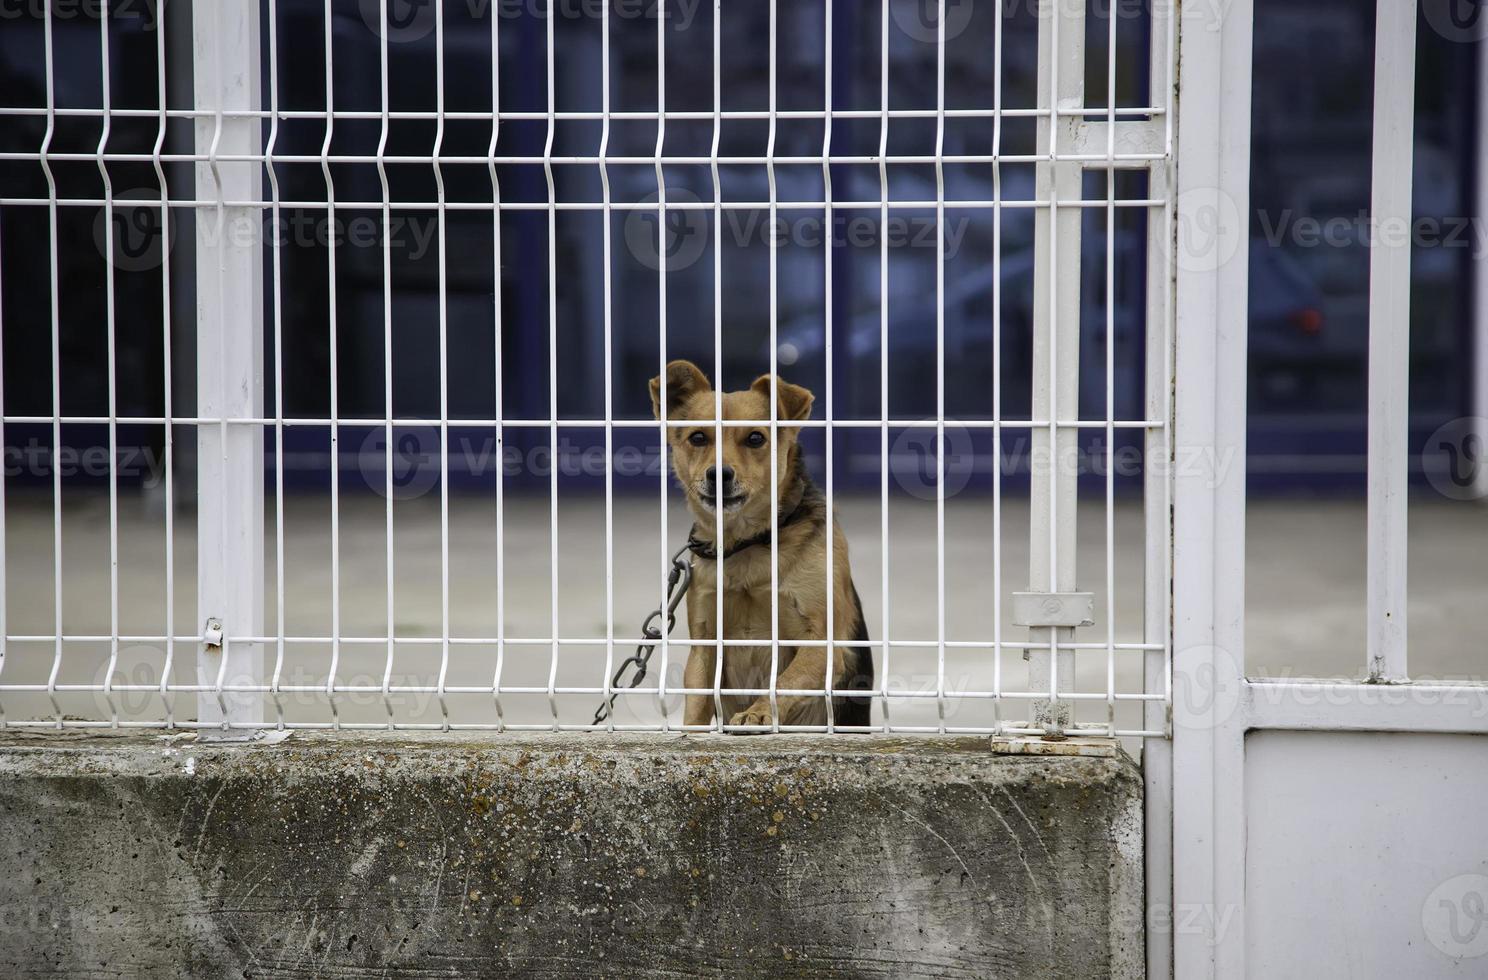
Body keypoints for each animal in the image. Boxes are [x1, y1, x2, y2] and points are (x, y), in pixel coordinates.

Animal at [648, 358, 868, 728]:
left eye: (755, 438)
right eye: (697, 437)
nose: (718, 475)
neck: (748, 543)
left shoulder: (821, 643)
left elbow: (784, 683)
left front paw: (758, 712)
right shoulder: (705, 644)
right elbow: (698, 702)